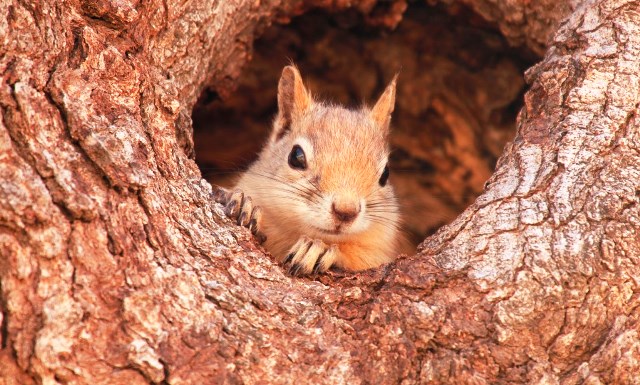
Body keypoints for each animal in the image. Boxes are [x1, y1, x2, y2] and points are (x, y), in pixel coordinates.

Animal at [215, 66, 404, 274]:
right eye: (296, 156)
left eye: (385, 174)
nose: (346, 211)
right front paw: (242, 204)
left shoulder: (380, 249)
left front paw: (318, 249)